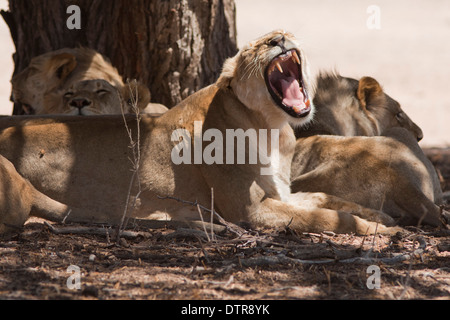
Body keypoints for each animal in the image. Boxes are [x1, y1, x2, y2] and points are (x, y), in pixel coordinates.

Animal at [0, 30, 400, 235]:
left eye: (284, 35)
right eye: (253, 48)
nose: (278, 39)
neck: (271, 128)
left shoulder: (280, 193)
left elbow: (323, 198)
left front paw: (382, 217)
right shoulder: (249, 211)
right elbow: (325, 217)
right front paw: (382, 231)